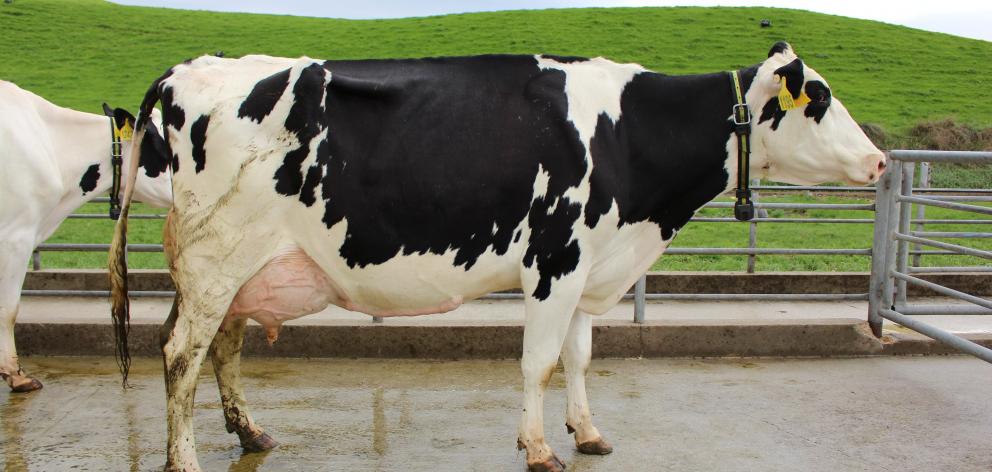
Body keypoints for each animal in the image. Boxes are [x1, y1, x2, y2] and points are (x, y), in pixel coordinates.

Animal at [108, 42, 884, 470]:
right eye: (819, 98)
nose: (879, 161)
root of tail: (186, 69)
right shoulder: (555, 260)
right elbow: (538, 362)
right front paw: (539, 448)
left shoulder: (588, 263)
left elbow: (578, 357)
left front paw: (588, 433)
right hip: (215, 257)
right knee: (180, 352)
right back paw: (184, 460)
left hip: (241, 267)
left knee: (223, 346)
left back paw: (253, 435)